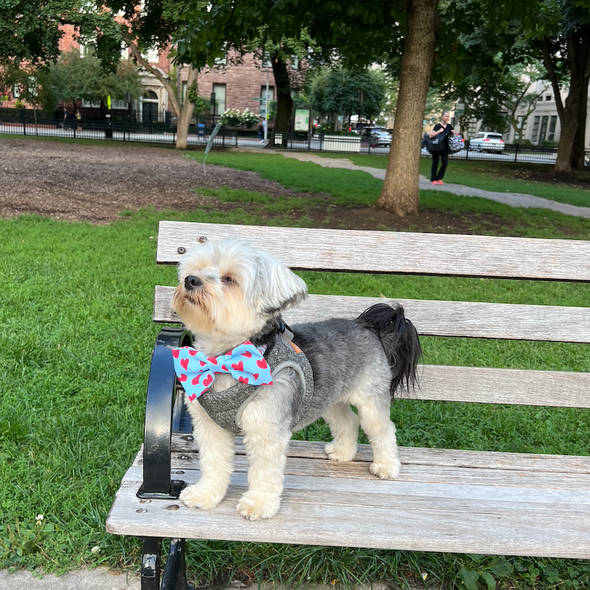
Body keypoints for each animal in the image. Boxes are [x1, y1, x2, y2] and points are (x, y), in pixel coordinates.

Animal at [170, 238, 420, 520]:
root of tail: (366, 325)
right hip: (329, 399)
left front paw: (258, 504)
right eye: (197, 269)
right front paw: (206, 494)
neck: (225, 359)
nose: (191, 280)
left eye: (229, 279)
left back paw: (386, 466)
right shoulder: (209, 426)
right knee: (348, 421)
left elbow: (264, 472)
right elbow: (213, 463)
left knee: (383, 429)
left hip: (369, 399)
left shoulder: (267, 431)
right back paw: (342, 452)